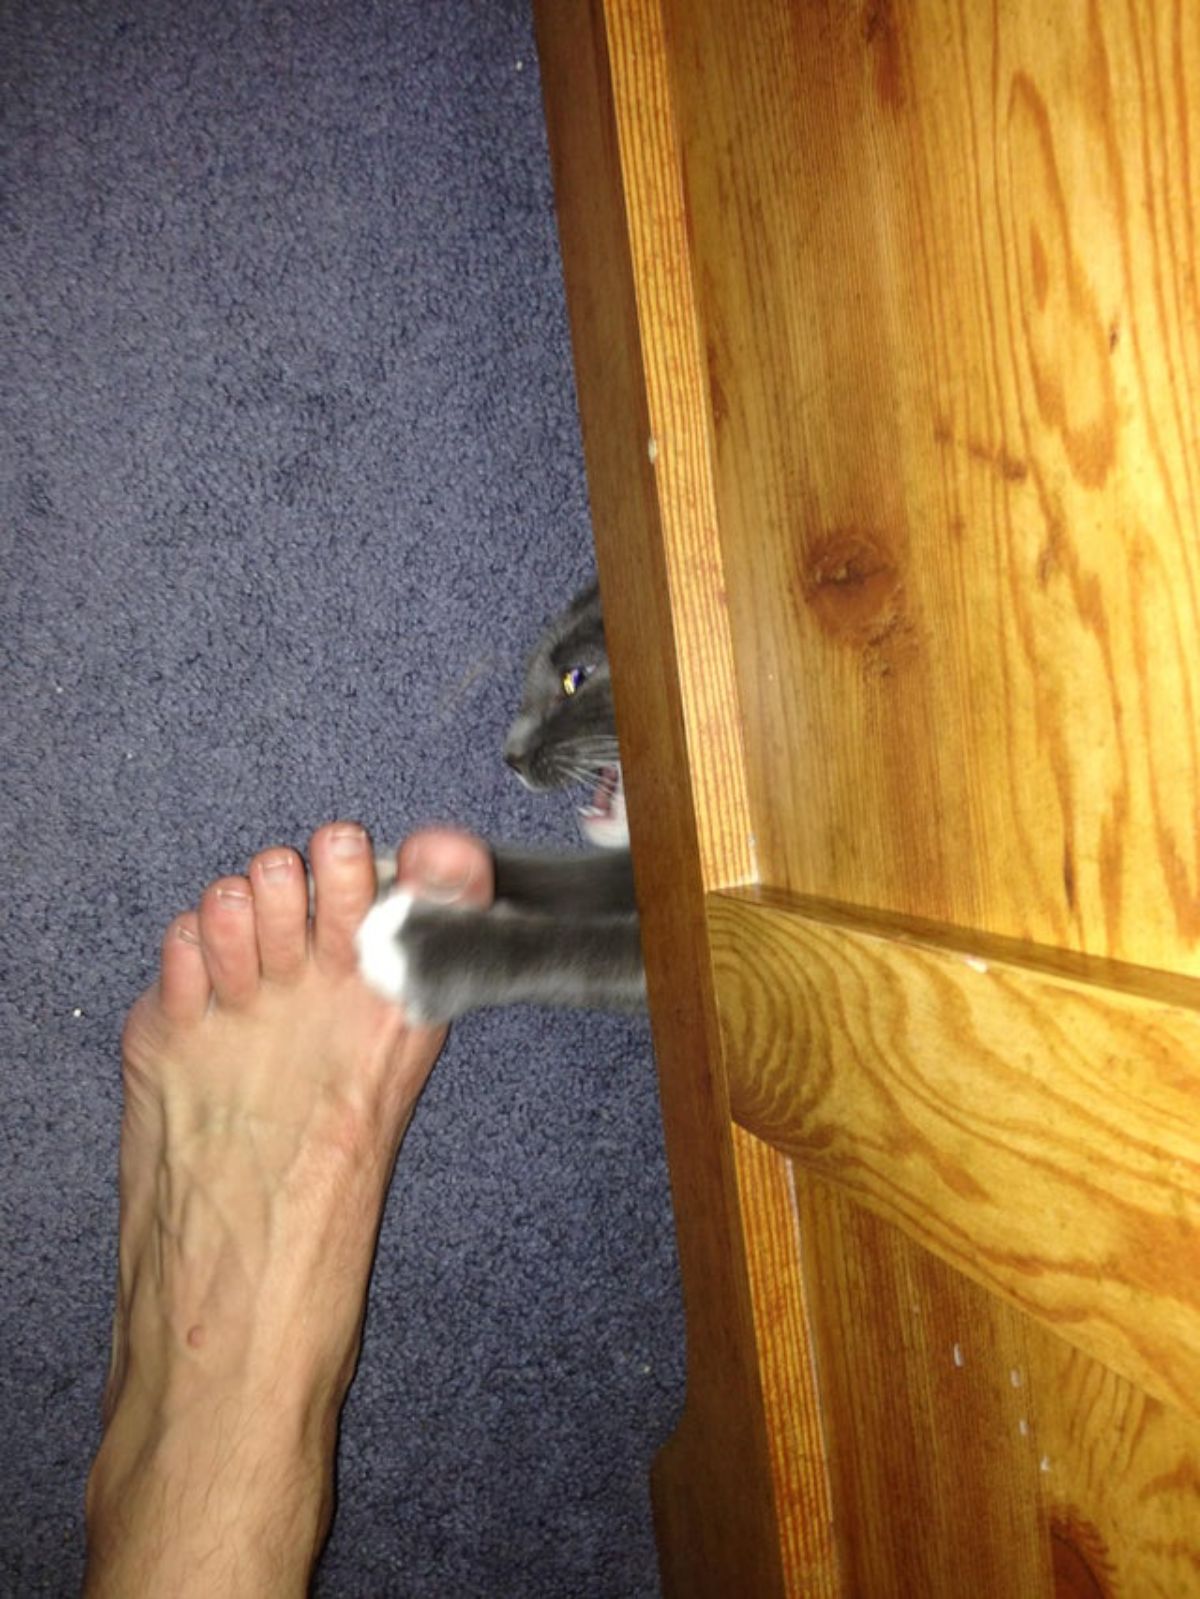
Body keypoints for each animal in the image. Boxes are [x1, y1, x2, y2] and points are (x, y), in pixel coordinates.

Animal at [356, 588, 649, 1023]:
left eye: (575, 678)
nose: (511, 757)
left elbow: (588, 952)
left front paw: (413, 948)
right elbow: (570, 876)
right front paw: (386, 869)